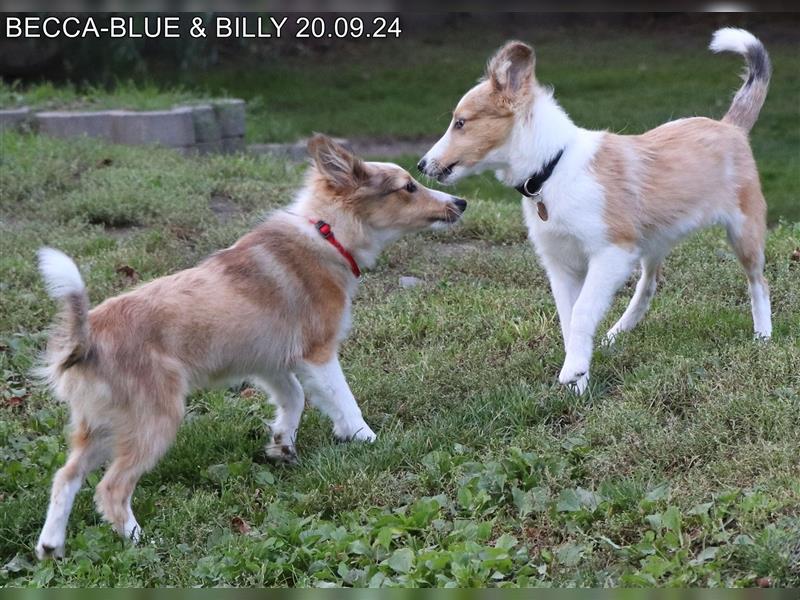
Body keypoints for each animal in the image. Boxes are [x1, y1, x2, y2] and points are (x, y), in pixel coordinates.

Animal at [34, 135, 466, 556]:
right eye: (407, 187)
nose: (461, 202)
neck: (327, 232)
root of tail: (86, 338)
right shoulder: (318, 353)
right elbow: (344, 399)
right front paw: (367, 439)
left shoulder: (272, 363)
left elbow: (296, 399)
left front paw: (284, 445)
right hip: (152, 420)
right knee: (110, 489)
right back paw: (142, 542)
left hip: (101, 426)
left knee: (65, 477)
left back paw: (51, 546)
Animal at [418, 27, 768, 394]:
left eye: (460, 123)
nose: (421, 165)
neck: (552, 168)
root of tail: (730, 126)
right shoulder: (561, 265)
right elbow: (569, 318)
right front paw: (579, 379)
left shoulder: (611, 253)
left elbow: (583, 311)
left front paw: (573, 372)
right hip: (653, 241)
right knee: (649, 286)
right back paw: (615, 335)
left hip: (744, 231)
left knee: (758, 282)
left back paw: (763, 336)